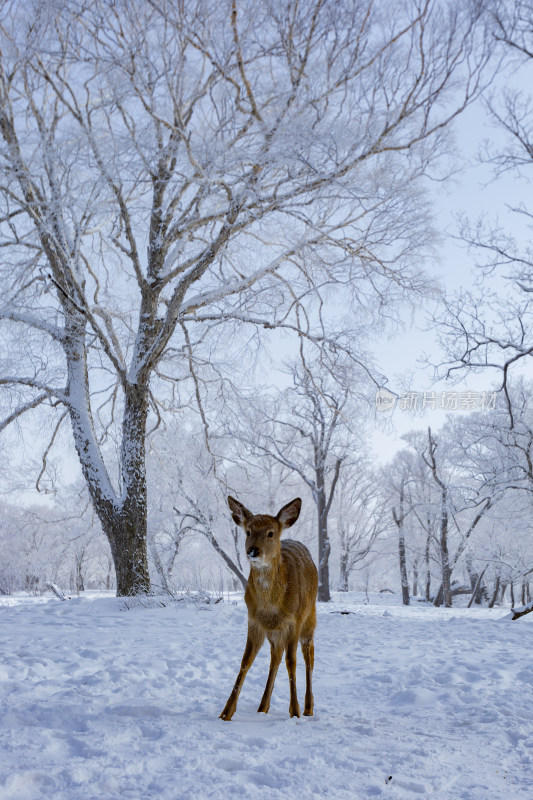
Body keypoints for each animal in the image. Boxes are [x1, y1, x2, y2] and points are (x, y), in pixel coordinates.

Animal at [219, 496, 318, 720]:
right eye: (248, 531)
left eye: (270, 533)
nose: (253, 551)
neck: (271, 605)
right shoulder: (254, 620)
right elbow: (246, 660)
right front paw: (226, 713)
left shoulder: (294, 620)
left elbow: (292, 662)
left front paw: (295, 713)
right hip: (275, 631)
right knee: (276, 656)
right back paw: (263, 707)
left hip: (309, 616)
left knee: (309, 653)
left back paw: (308, 708)